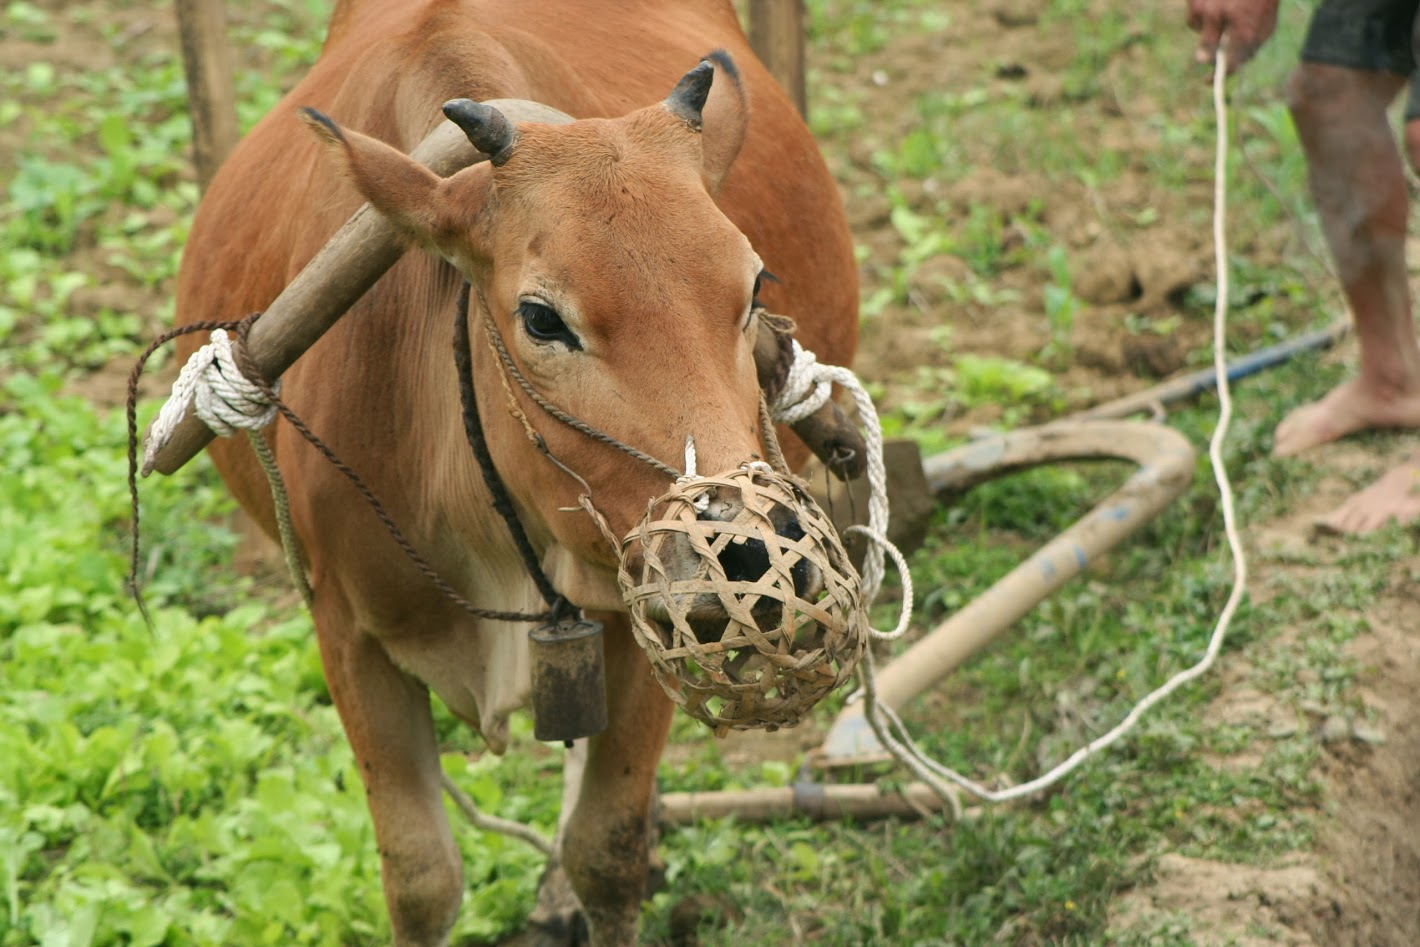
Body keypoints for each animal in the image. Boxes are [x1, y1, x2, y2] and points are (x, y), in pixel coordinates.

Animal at [180, 1, 852, 947]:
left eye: (754, 285)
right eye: (541, 317)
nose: (752, 555)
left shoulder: (643, 614)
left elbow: (606, 847)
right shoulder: (344, 631)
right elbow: (420, 877)